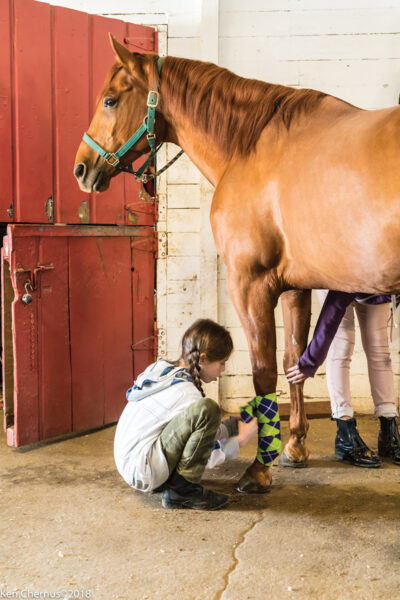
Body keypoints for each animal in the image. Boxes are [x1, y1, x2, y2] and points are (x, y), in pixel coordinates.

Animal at [74, 37, 400, 494]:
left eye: (109, 100)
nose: (81, 168)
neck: (252, 147)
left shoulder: (249, 284)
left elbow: (264, 373)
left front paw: (260, 468)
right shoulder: (296, 286)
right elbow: (294, 360)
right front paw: (294, 446)